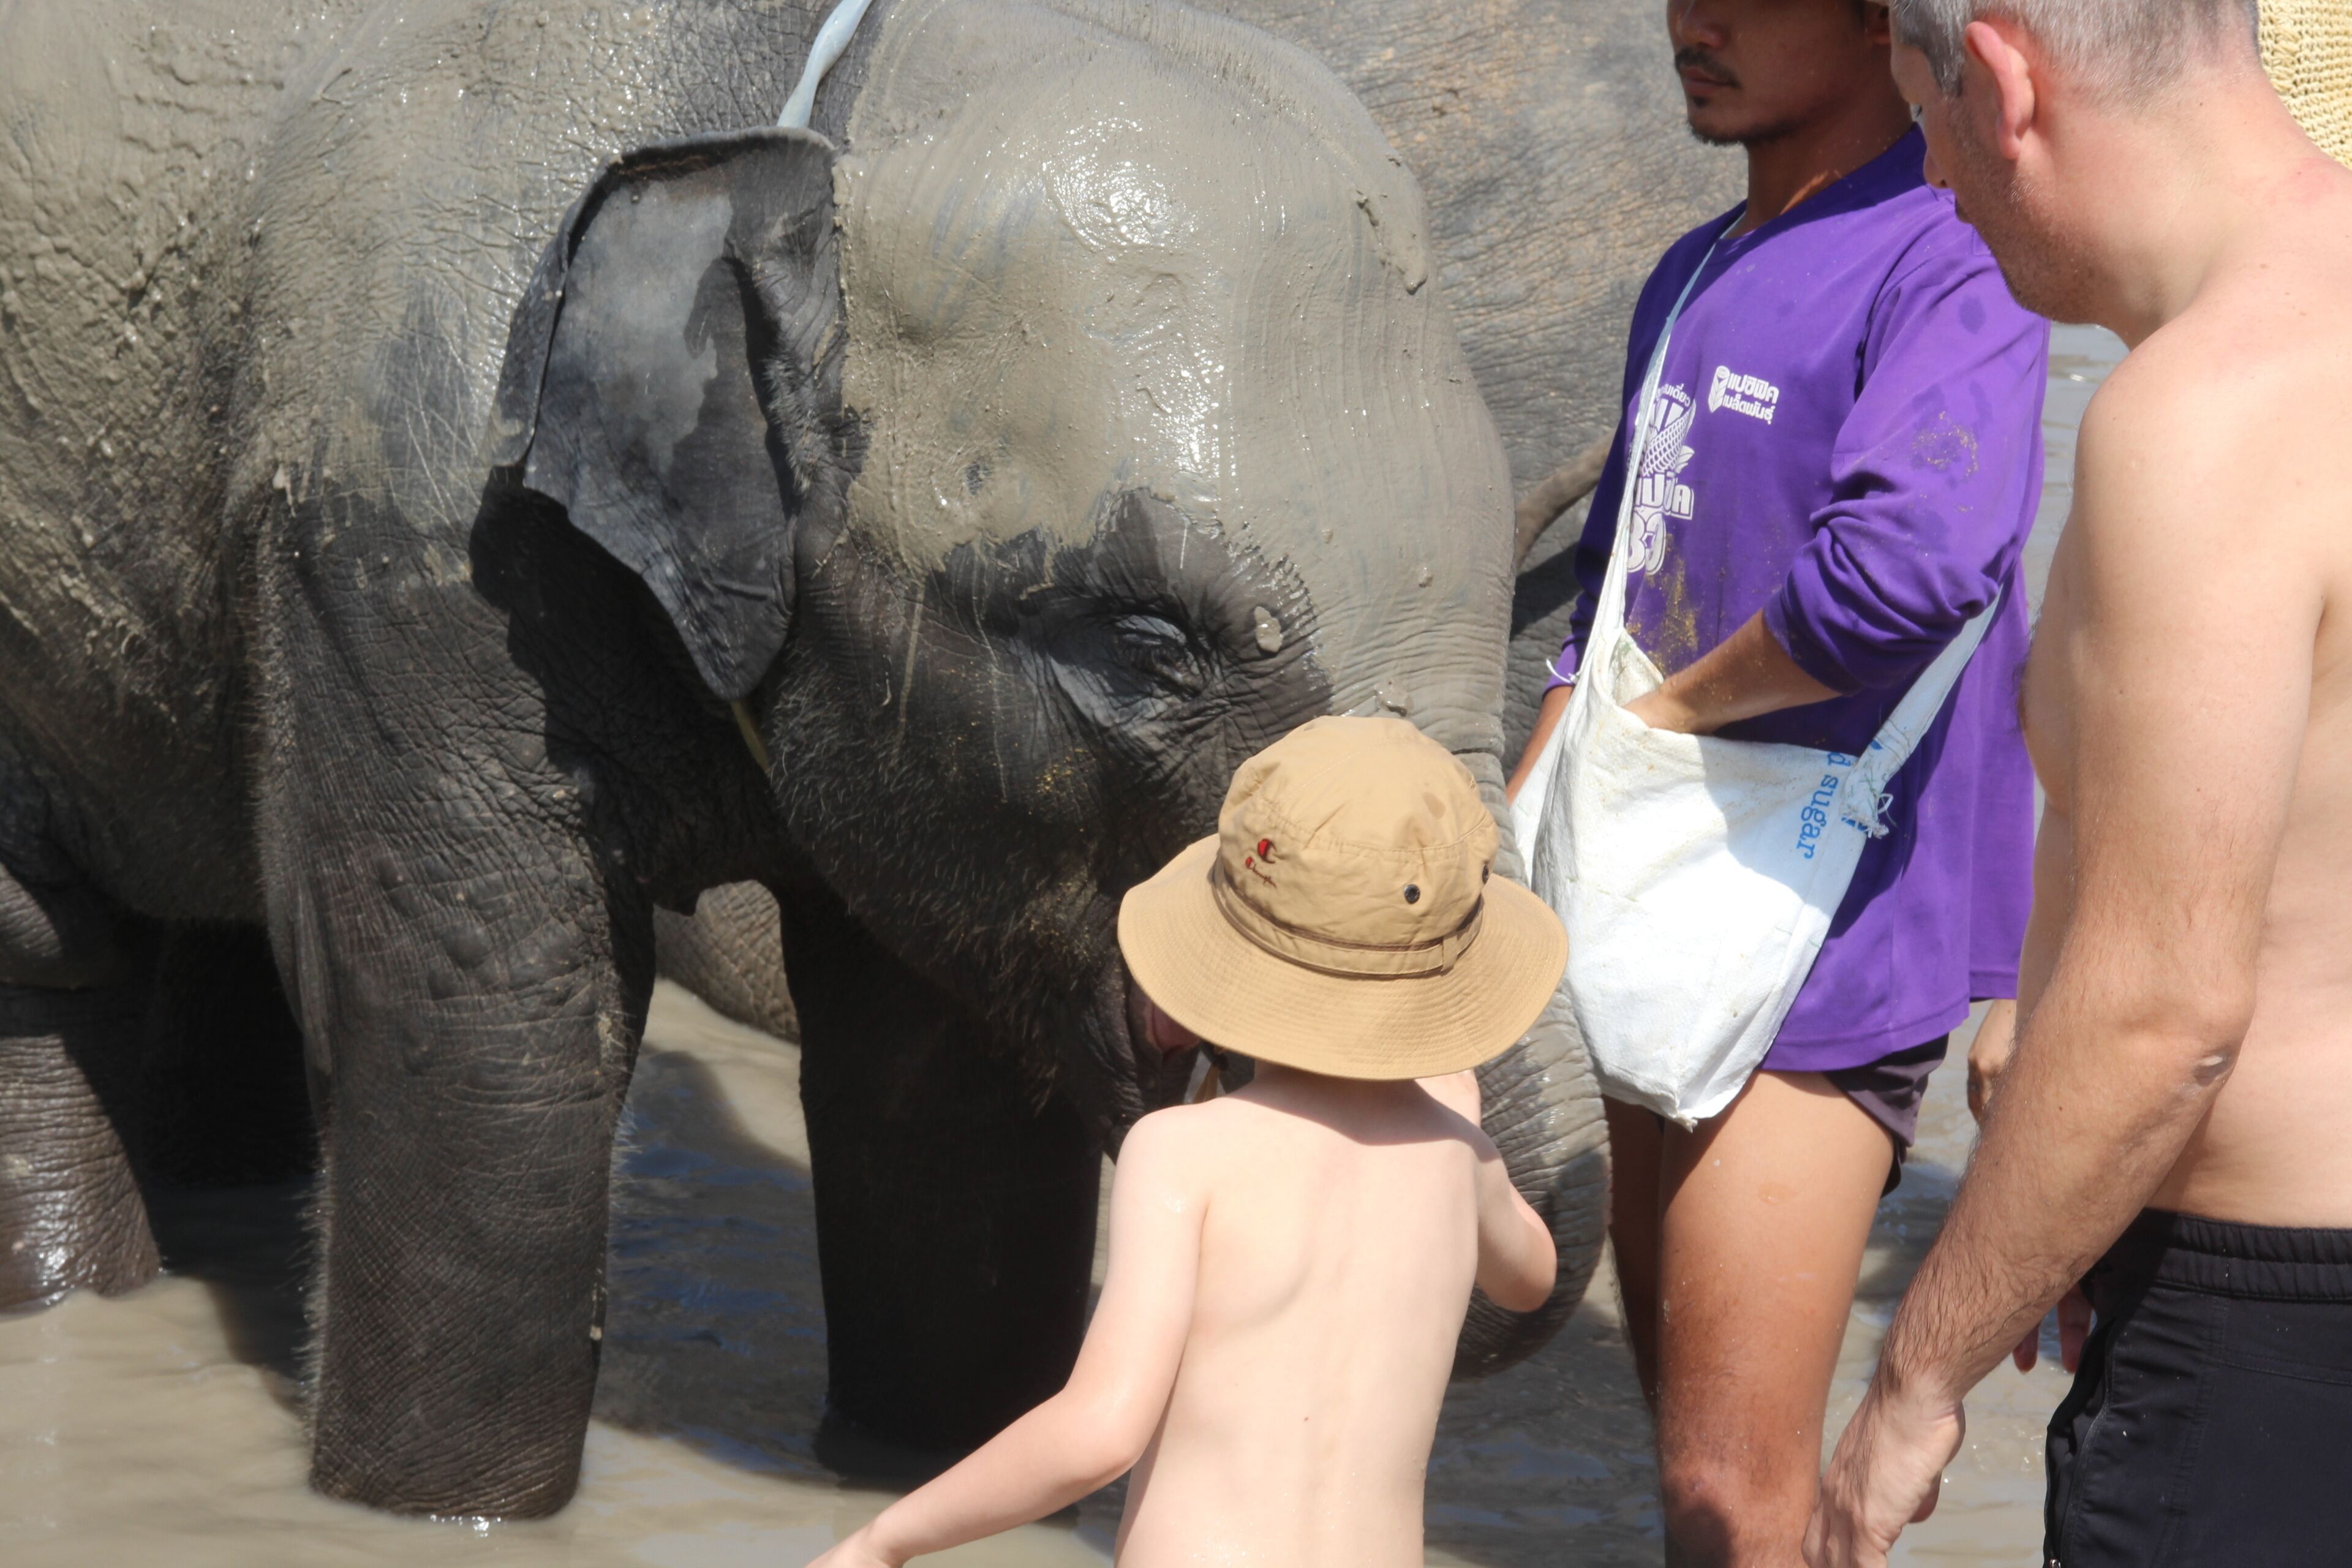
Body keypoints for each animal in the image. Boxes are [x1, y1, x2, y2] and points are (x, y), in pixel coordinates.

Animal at [1, 0, 1611, 1520]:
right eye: (1153, 641)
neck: (791, 107)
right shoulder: (402, 531)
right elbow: (497, 1045)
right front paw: (431, 1511)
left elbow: (940, 1093)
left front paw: (928, 1459)